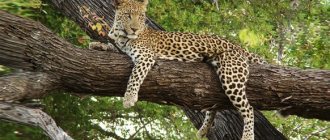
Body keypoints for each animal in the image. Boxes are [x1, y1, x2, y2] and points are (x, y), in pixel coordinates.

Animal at [102, 0, 266, 139]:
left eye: (141, 16)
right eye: (128, 15)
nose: (134, 29)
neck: (120, 34)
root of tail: (237, 46)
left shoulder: (146, 56)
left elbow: (135, 76)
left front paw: (129, 97)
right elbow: (111, 47)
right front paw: (102, 46)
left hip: (231, 76)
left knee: (248, 108)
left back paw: (247, 136)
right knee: (214, 106)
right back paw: (203, 130)